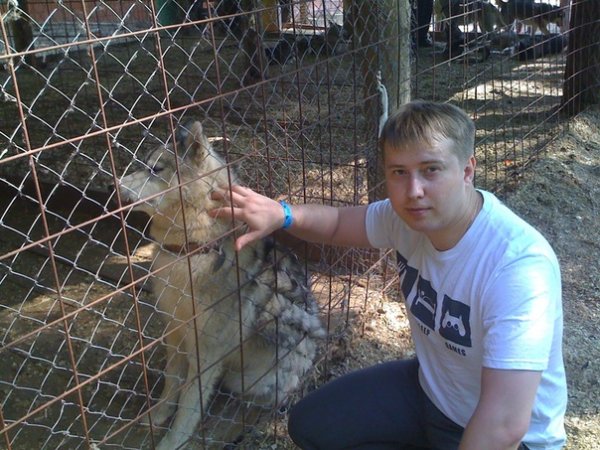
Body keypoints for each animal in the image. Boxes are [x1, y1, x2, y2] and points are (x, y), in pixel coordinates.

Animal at [117, 121, 324, 450]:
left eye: (156, 168)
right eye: (143, 165)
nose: (115, 184)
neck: (191, 251)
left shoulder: (207, 353)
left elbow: (188, 405)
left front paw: (172, 441)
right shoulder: (175, 335)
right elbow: (171, 385)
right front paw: (157, 416)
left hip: (247, 375)